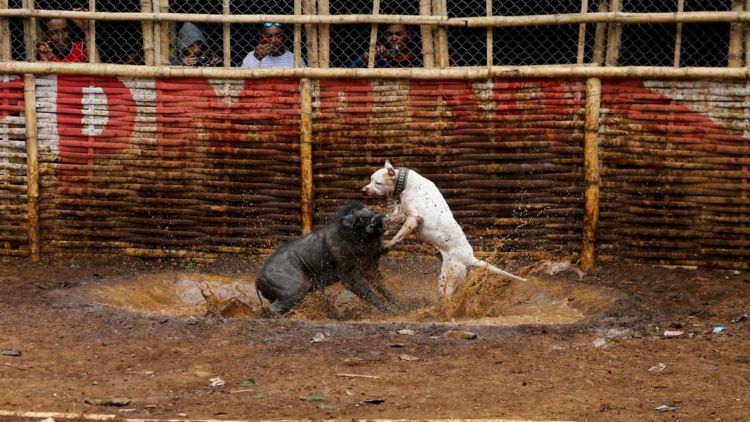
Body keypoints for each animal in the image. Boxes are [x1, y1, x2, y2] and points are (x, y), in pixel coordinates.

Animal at [362, 161, 524, 296]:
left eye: (378, 183)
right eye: (370, 179)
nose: (363, 190)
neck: (407, 183)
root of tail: (470, 257)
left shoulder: (414, 219)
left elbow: (398, 236)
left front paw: (385, 247)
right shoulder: (402, 212)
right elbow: (389, 222)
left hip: (451, 276)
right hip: (446, 276)